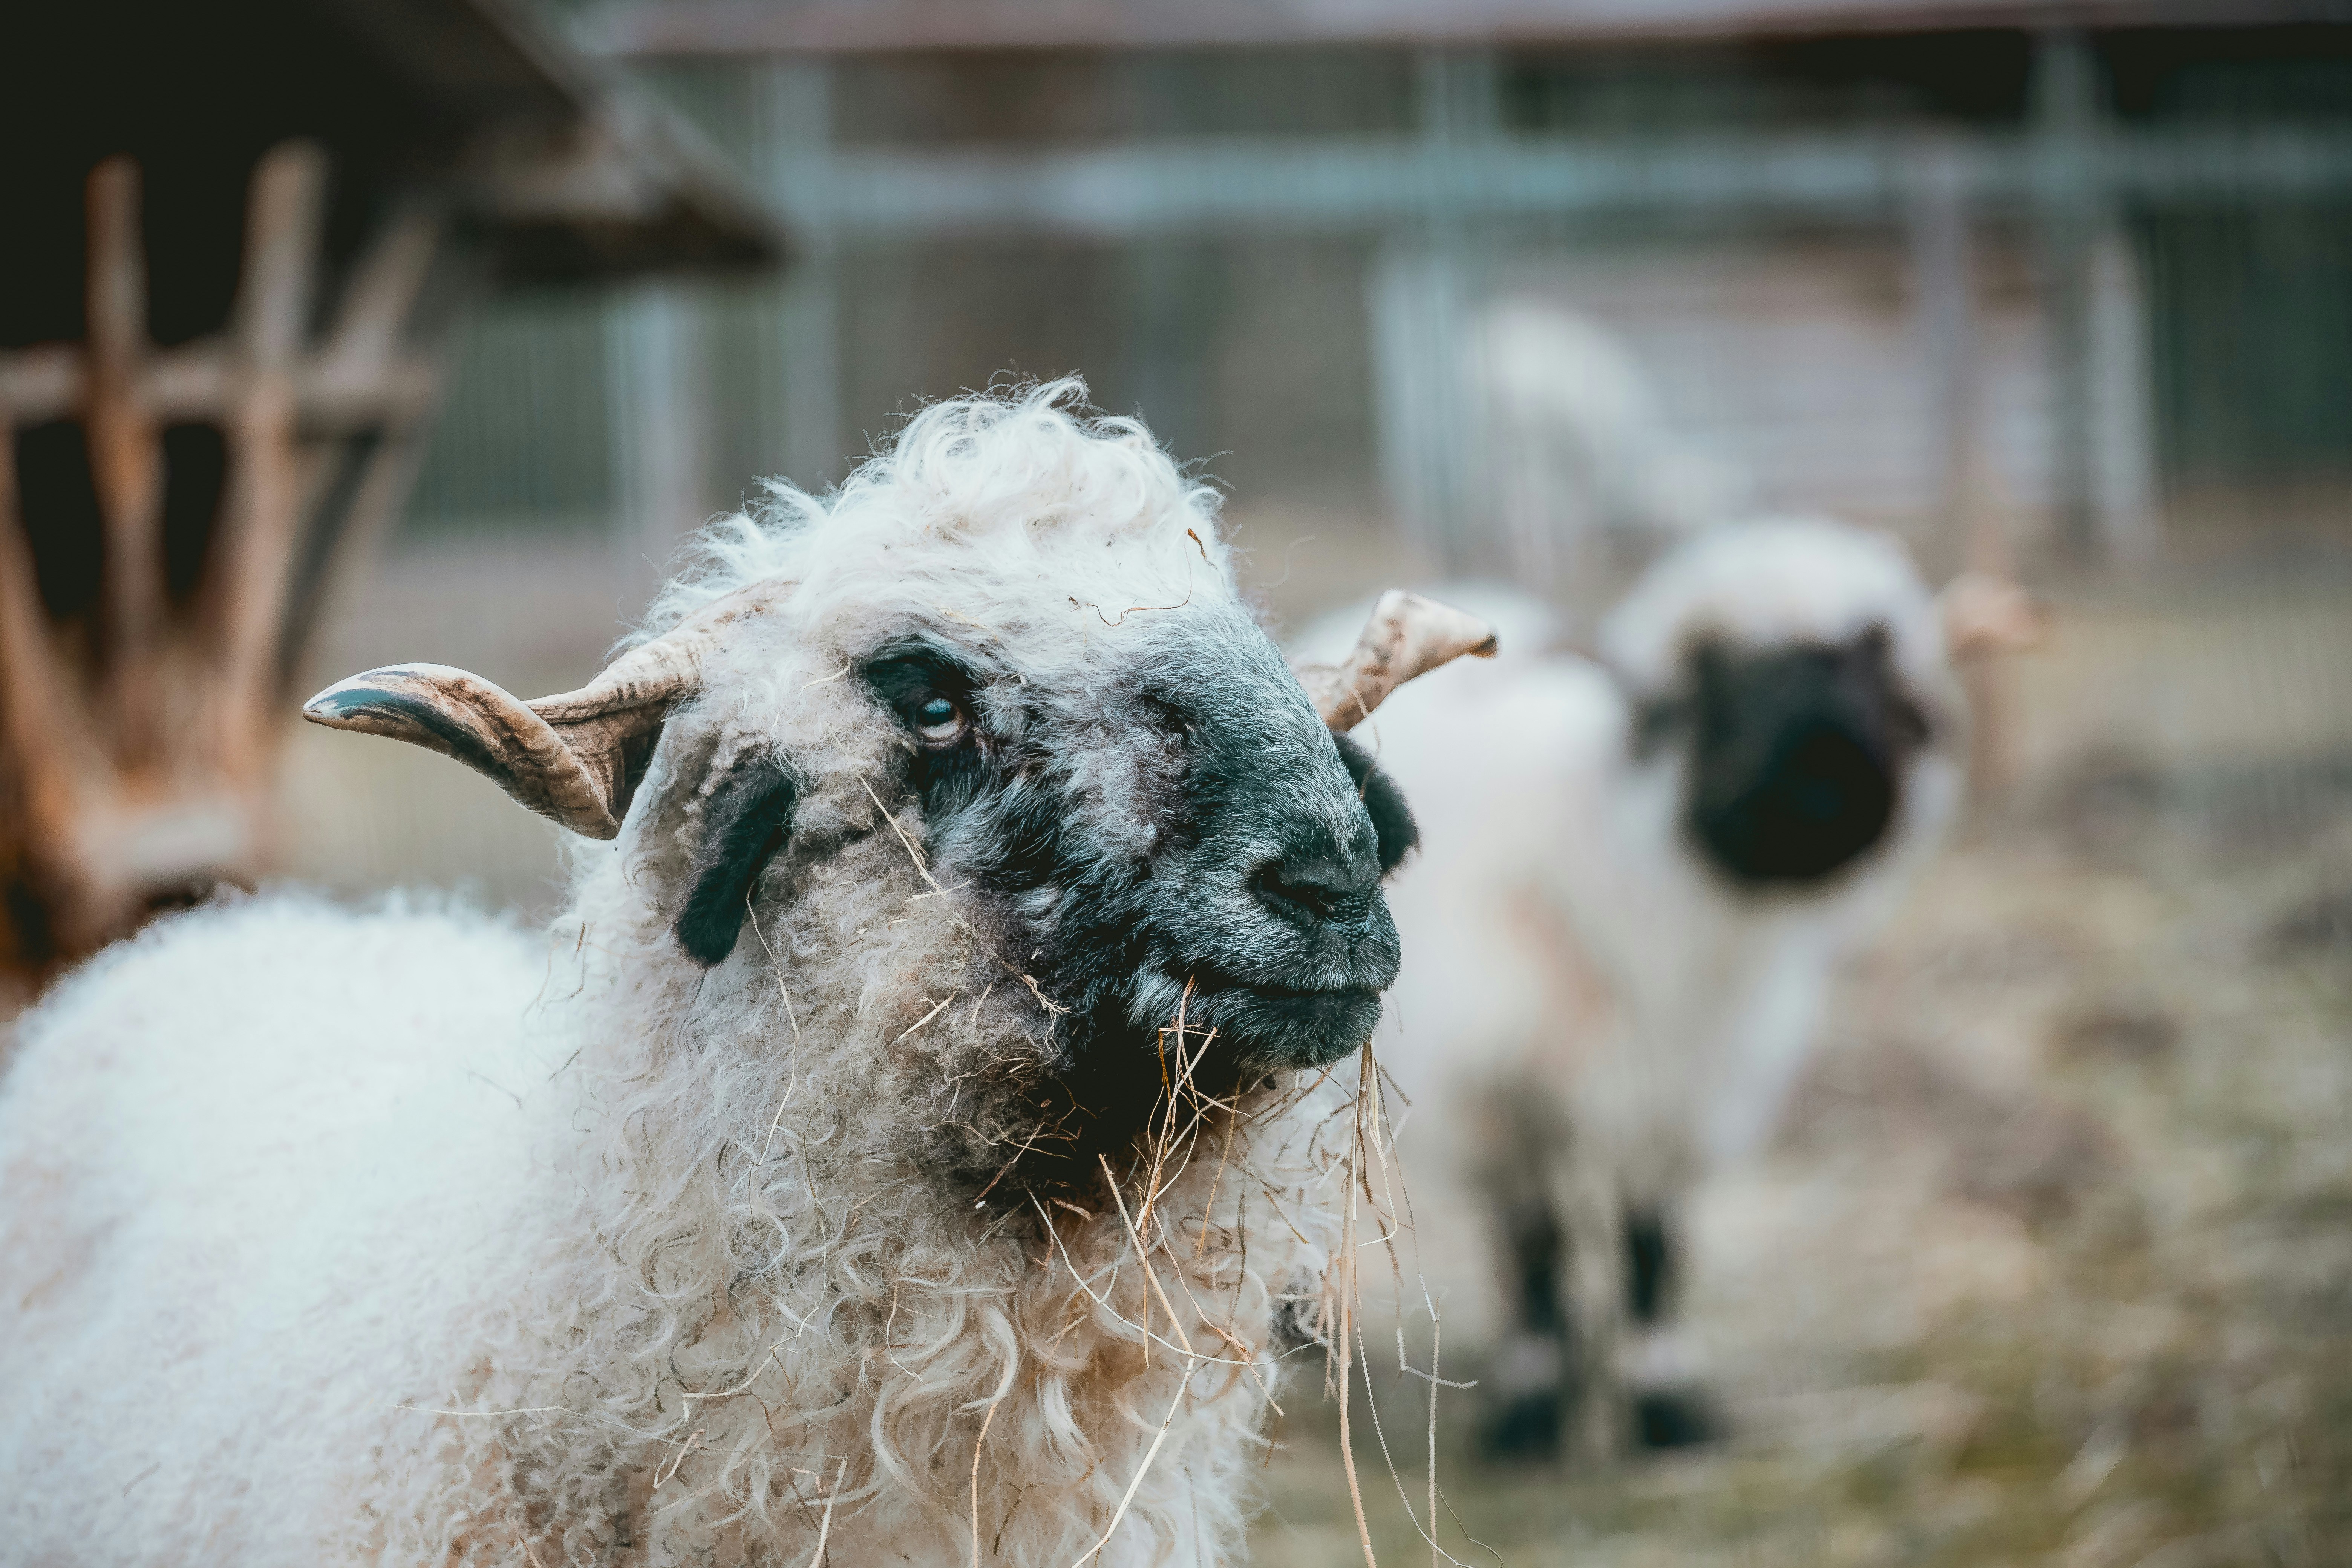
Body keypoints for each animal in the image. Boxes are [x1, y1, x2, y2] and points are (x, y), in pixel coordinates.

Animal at [1323, 515, 2037, 1460]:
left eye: (1872, 673)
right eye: (1728, 685)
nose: (1831, 775)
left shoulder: (1679, 1089)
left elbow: (1650, 1246)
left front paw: (1665, 1405)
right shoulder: (1498, 1094)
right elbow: (1536, 1246)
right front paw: (1531, 1409)